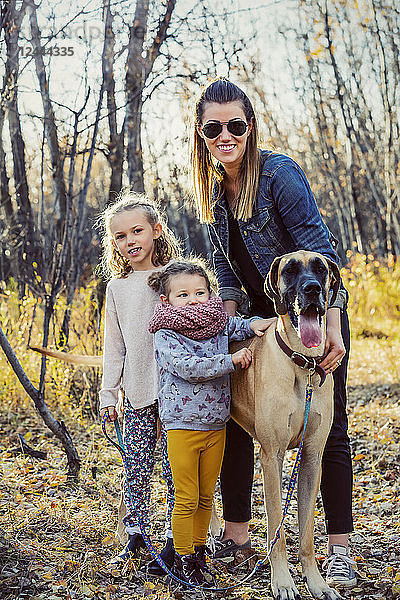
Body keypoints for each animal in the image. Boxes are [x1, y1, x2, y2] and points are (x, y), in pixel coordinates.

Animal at [228, 248, 344, 600]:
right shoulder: (271, 456)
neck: (302, 365)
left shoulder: (312, 458)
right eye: (290, 270)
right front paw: (282, 582)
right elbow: (276, 528)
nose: (312, 290)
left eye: (321, 268)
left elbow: (306, 534)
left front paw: (317, 583)